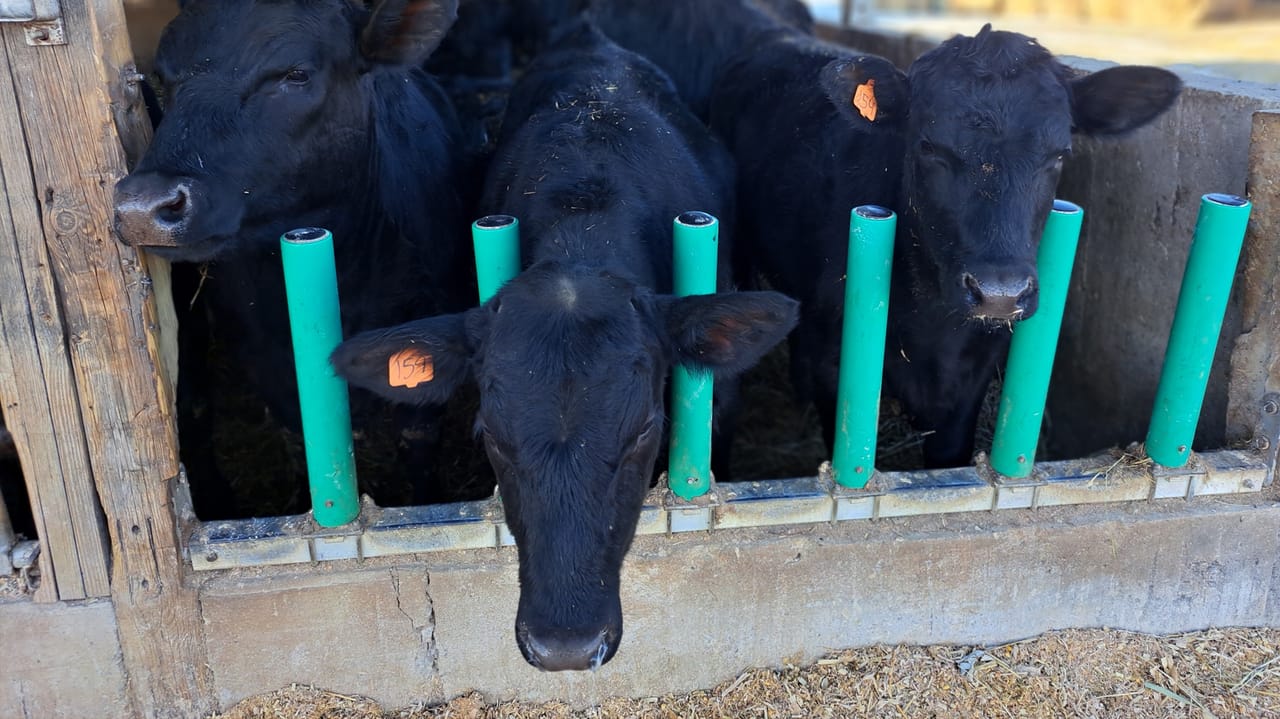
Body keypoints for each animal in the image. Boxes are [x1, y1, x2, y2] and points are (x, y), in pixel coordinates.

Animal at [707, 23, 1181, 467]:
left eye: (1060, 154)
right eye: (928, 146)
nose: (999, 293)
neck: (932, 325)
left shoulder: (973, 373)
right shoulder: (833, 362)